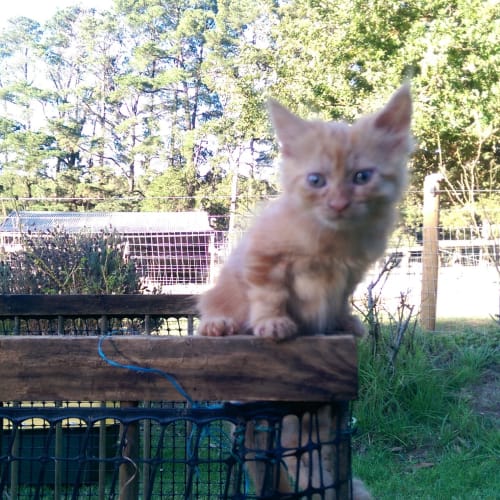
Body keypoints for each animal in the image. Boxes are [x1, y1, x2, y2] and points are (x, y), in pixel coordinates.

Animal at [197, 85, 412, 496]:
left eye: (362, 176)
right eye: (316, 181)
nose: (339, 203)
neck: (331, 240)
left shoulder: (351, 273)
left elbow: (341, 299)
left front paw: (344, 324)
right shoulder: (262, 256)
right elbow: (269, 293)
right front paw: (273, 325)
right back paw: (219, 326)